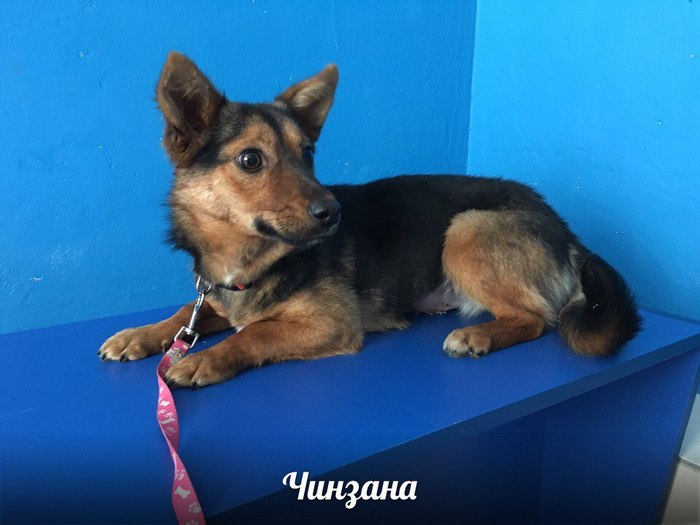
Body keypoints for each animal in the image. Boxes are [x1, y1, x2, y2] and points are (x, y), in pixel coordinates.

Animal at [98, 52, 642, 388]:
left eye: (308, 154)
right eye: (250, 159)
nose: (333, 212)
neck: (250, 260)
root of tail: (563, 228)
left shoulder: (333, 324)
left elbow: (251, 333)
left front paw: (204, 360)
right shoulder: (213, 299)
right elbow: (183, 316)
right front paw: (138, 335)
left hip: (466, 229)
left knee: (536, 318)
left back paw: (479, 336)